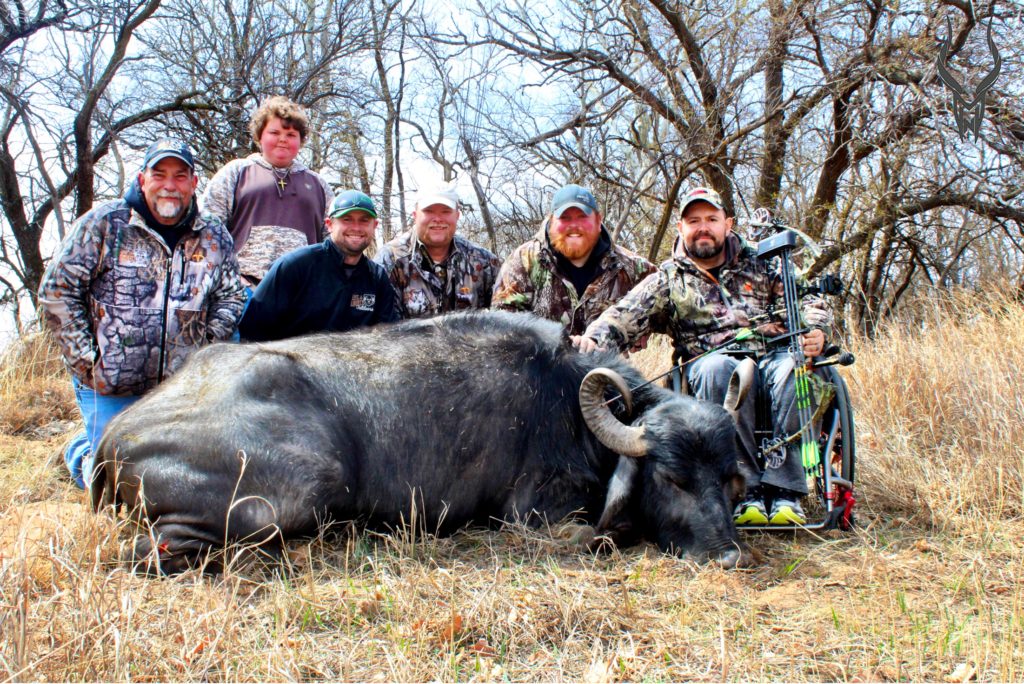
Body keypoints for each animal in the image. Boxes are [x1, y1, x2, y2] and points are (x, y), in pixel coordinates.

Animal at [92, 311, 749, 573]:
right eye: (671, 477)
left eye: (728, 480)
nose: (729, 556)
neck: (566, 402)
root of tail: (114, 439)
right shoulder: (534, 516)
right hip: (304, 489)